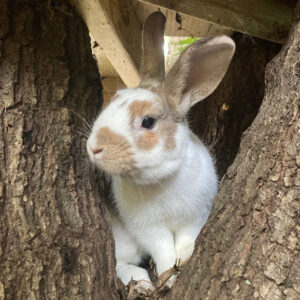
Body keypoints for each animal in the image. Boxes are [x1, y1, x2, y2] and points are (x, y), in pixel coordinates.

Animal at [85, 11, 236, 290]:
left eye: (148, 121)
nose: (94, 148)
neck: (163, 178)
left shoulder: (196, 216)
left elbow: (186, 241)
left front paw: (184, 259)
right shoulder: (148, 229)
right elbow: (164, 250)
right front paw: (168, 278)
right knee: (120, 263)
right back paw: (141, 281)